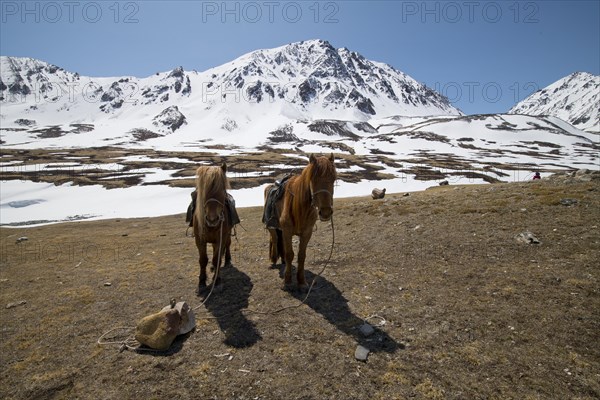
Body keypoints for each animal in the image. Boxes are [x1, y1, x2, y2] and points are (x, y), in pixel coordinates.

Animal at [193, 163, 233, 294]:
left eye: (222, 189)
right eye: (204, 190)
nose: (212, 219)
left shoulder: (221, 238)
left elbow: (217, 259)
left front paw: (218, 281)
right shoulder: (199, 240)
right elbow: (203, 260)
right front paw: (201, 282)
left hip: (227, 235)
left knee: (227, 246)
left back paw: (227, 261)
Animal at [264, 154, 336, 290]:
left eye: (334, 178)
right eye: (313, 178)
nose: (325, 212)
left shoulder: (307, 233)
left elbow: (302, 256)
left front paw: (302, 282)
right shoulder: (287, 231)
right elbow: (289, 254)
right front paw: (287, 281)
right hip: (271, 227)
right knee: (275, 239)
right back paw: (273, 260)